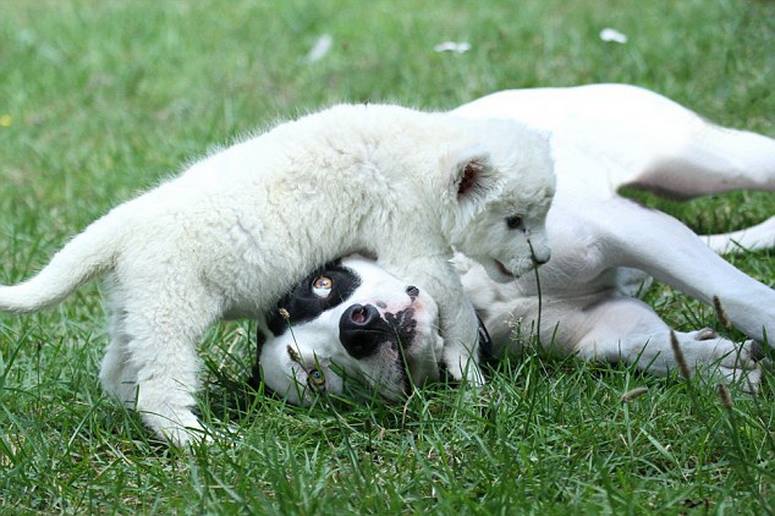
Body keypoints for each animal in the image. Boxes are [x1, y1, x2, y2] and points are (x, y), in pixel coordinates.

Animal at [0, 102, 556, 444]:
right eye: (514, 220)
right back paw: (209, 443)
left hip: (135, 312)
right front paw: (471, 374)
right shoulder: (410, 238)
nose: (543, 260)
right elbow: (453, 305)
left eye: (541, 213)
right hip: (169, 312)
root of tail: (118, 229)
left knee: (118, 374)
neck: (422, 151)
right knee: (158, 395)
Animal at [256, 83, 775, 404]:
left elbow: (743, 298)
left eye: (322, 283)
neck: (479, 299)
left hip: (703, 161)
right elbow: (643, 346)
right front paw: (716, 361)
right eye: (318, 377)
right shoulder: (604, 321)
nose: (355, 326)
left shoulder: (631, 231)